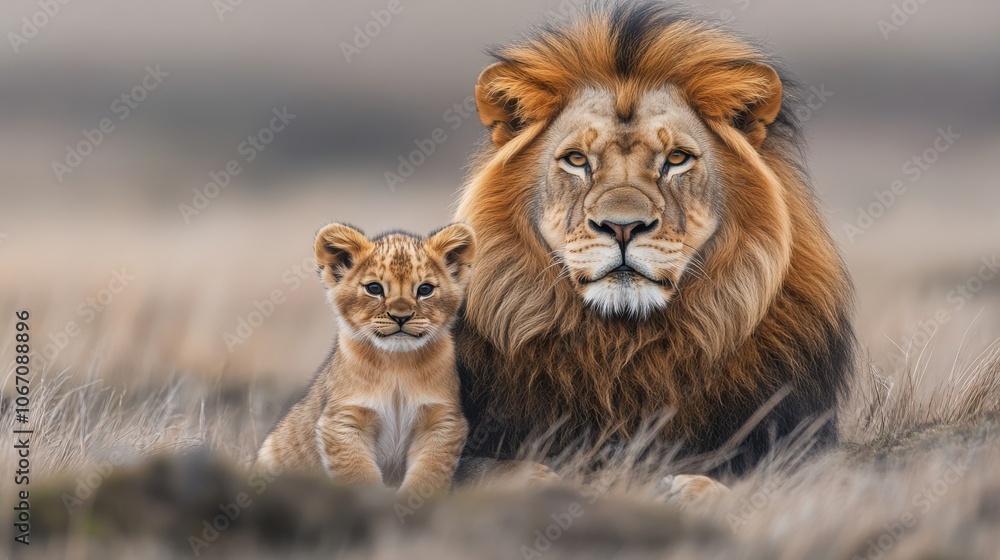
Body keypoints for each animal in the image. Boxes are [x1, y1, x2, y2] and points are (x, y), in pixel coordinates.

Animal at [452, 1, 855, 497]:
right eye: (577, 160)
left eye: (676, 159)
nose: (622, 227)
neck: (624, 344)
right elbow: (509, 469)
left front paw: (685, 489)